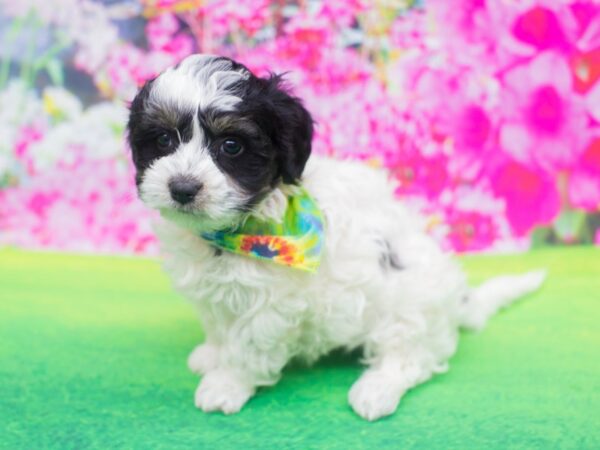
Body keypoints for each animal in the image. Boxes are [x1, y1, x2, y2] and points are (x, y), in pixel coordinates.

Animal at [125, 55, 544, 422]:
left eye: (231, 146)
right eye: (163, 140)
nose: (182, 188)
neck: (235, 230)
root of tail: (457, 303)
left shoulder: (272, 305)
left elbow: (248, 345)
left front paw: (226, 384)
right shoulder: (216, 294)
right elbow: (218, 324)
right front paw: (212, 354)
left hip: (407, 306)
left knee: (412, 357)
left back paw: (376, 390)